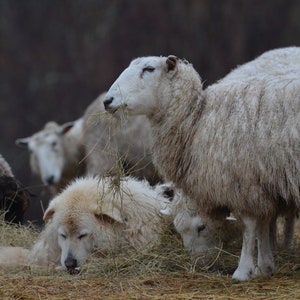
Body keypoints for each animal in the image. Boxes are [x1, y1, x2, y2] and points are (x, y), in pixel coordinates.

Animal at [102, 45, 300, 280]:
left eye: (149, 69)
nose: (107, 101)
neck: (195, 119)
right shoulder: (260, 185)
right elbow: (263, 223)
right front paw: (265, 265)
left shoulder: (243, 181)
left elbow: (251, 225)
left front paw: (244, 270)